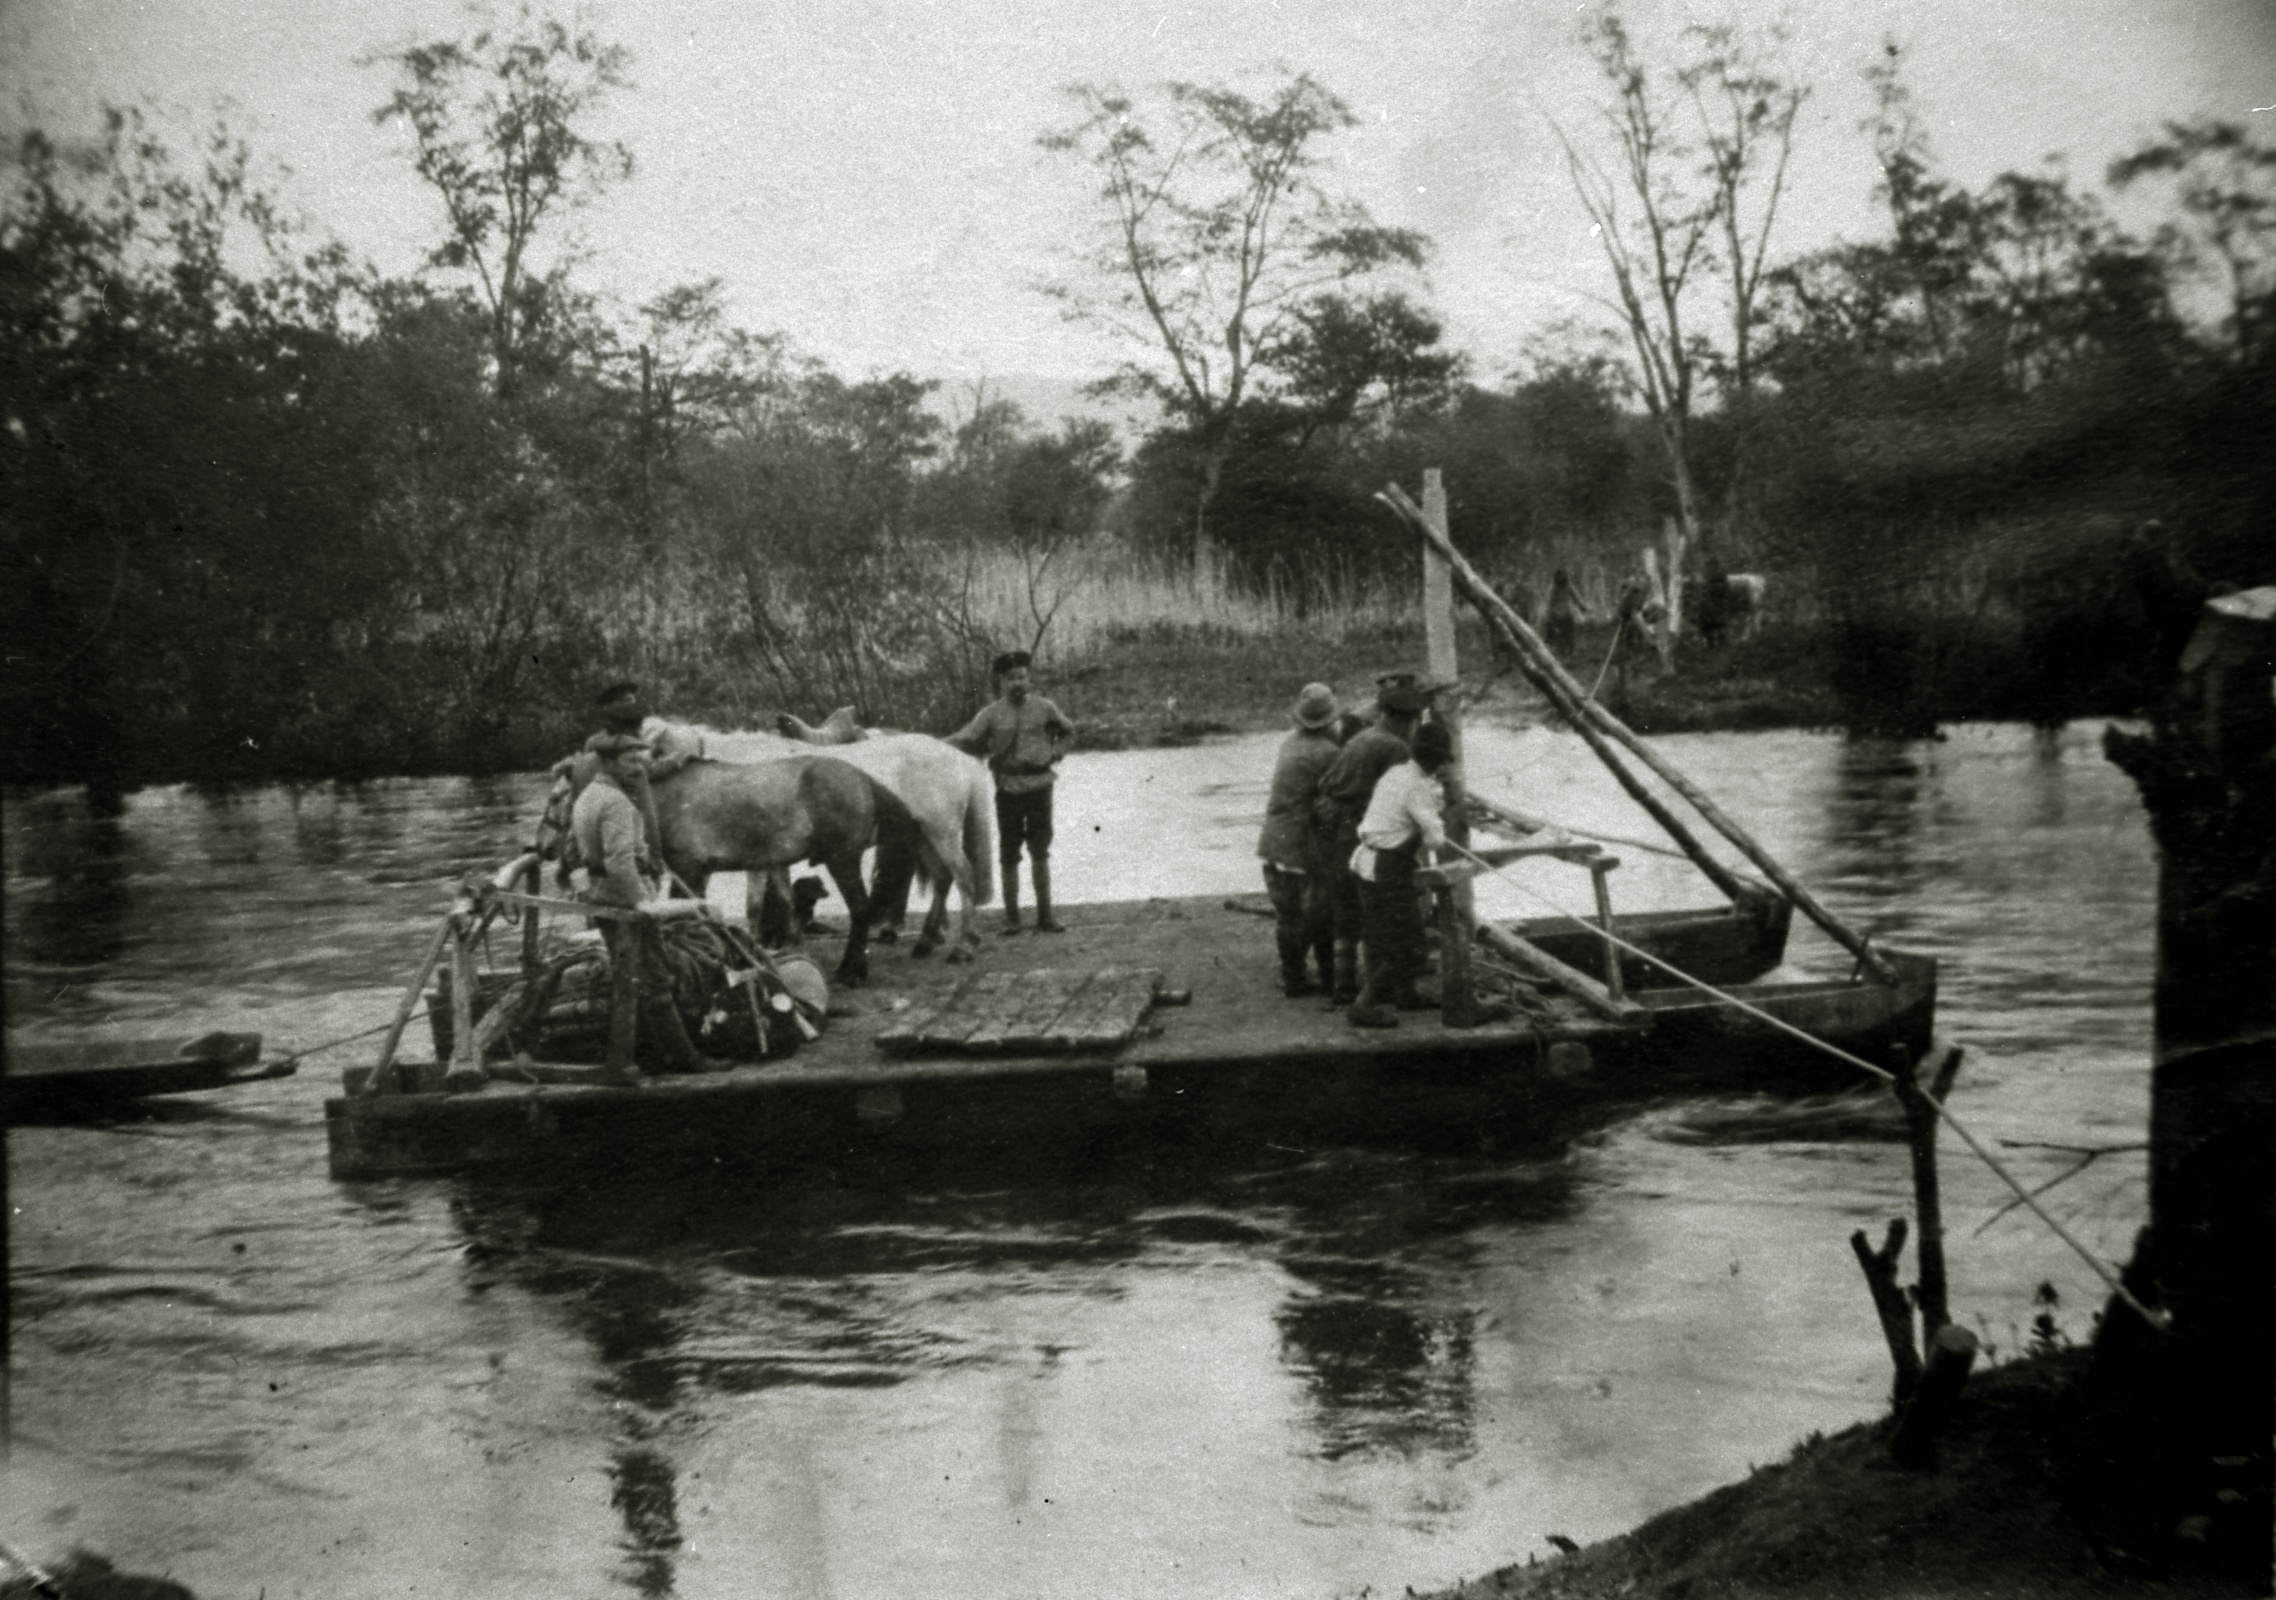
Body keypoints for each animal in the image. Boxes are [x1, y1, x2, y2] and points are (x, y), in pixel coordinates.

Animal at [536, 753, 907, 986]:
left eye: (554, 798)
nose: (541, 847)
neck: (667, 797)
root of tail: (862, 778)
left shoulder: (688, 870)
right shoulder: (700, 874)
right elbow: (700, 918)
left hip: (842, 861)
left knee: (860, 910)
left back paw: (851, 971)